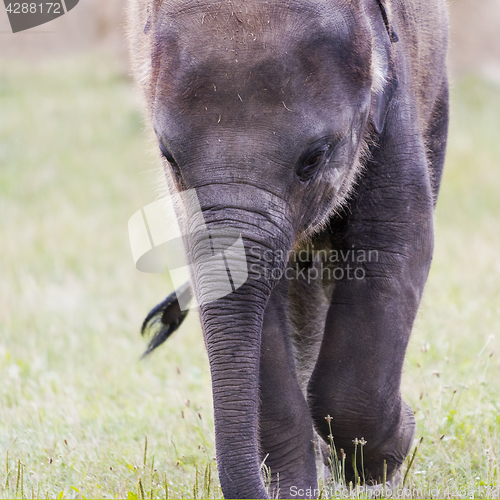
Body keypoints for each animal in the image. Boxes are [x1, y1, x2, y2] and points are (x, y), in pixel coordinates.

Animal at [127, 0, 448, 498]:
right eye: (168, 156)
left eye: (312, 159)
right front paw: (296, 488)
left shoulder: (398, 101)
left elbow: (398, 243)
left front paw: (387, 459)